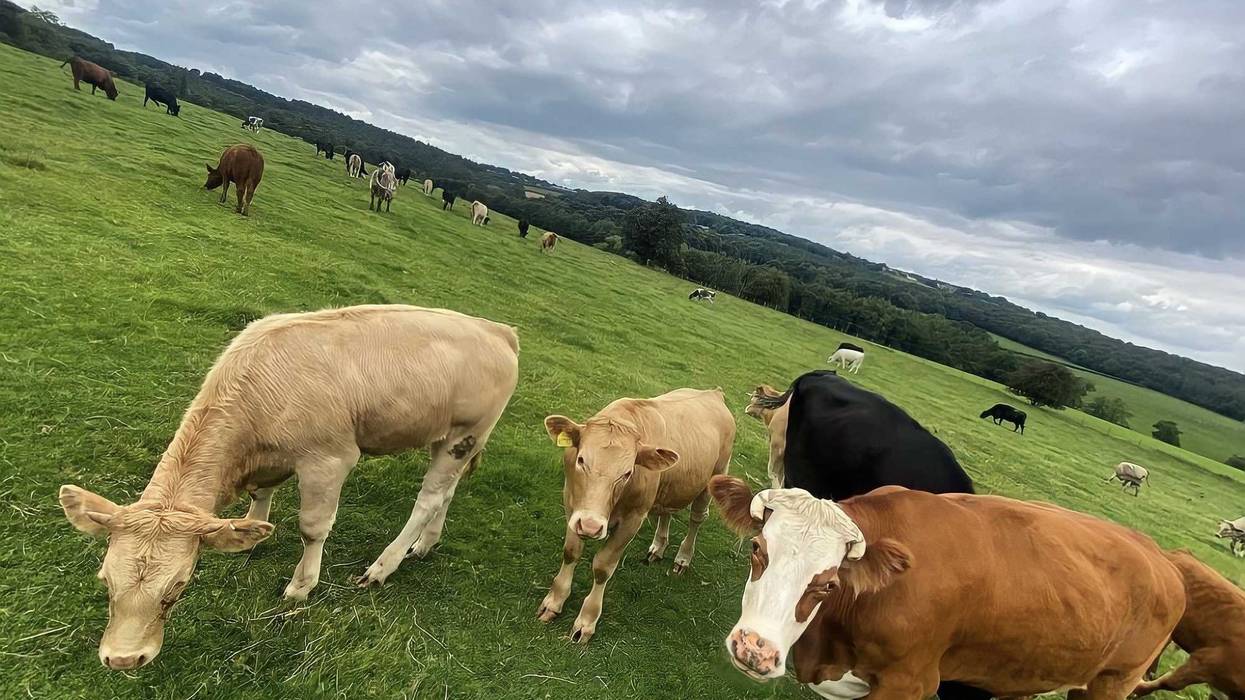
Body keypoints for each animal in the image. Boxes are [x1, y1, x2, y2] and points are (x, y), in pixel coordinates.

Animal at [58, 305, 519, 669]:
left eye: (178, 586)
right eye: (105, 581)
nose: (123, 659)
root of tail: (497, 329)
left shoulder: (329, 459)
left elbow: (313, 528)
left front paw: (301, 586)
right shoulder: (269, 461)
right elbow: (260, 497)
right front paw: (251, 535)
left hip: (465, 434)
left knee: (427, 498)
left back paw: (383, 566)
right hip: (455, 439)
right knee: (446, 493)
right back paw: (425, 544)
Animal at [537, 388, 735, 644]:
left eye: (627, 473)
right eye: (581, 460)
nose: (591, 527)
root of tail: (713, 393)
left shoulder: (633, 519)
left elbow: (602, 567)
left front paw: (586, 621)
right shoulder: (572, 504)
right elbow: (571, 551)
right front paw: (554, 602)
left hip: (714, 477)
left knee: (696, 519)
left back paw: (682, 559)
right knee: (666, 512)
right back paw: (658, 547)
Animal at [709, 476, 1186, 700]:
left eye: (827, 584)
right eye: (757, 548)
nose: (753, 649)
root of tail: (1162, 556)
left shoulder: (909, 683)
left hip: (1113, 682)